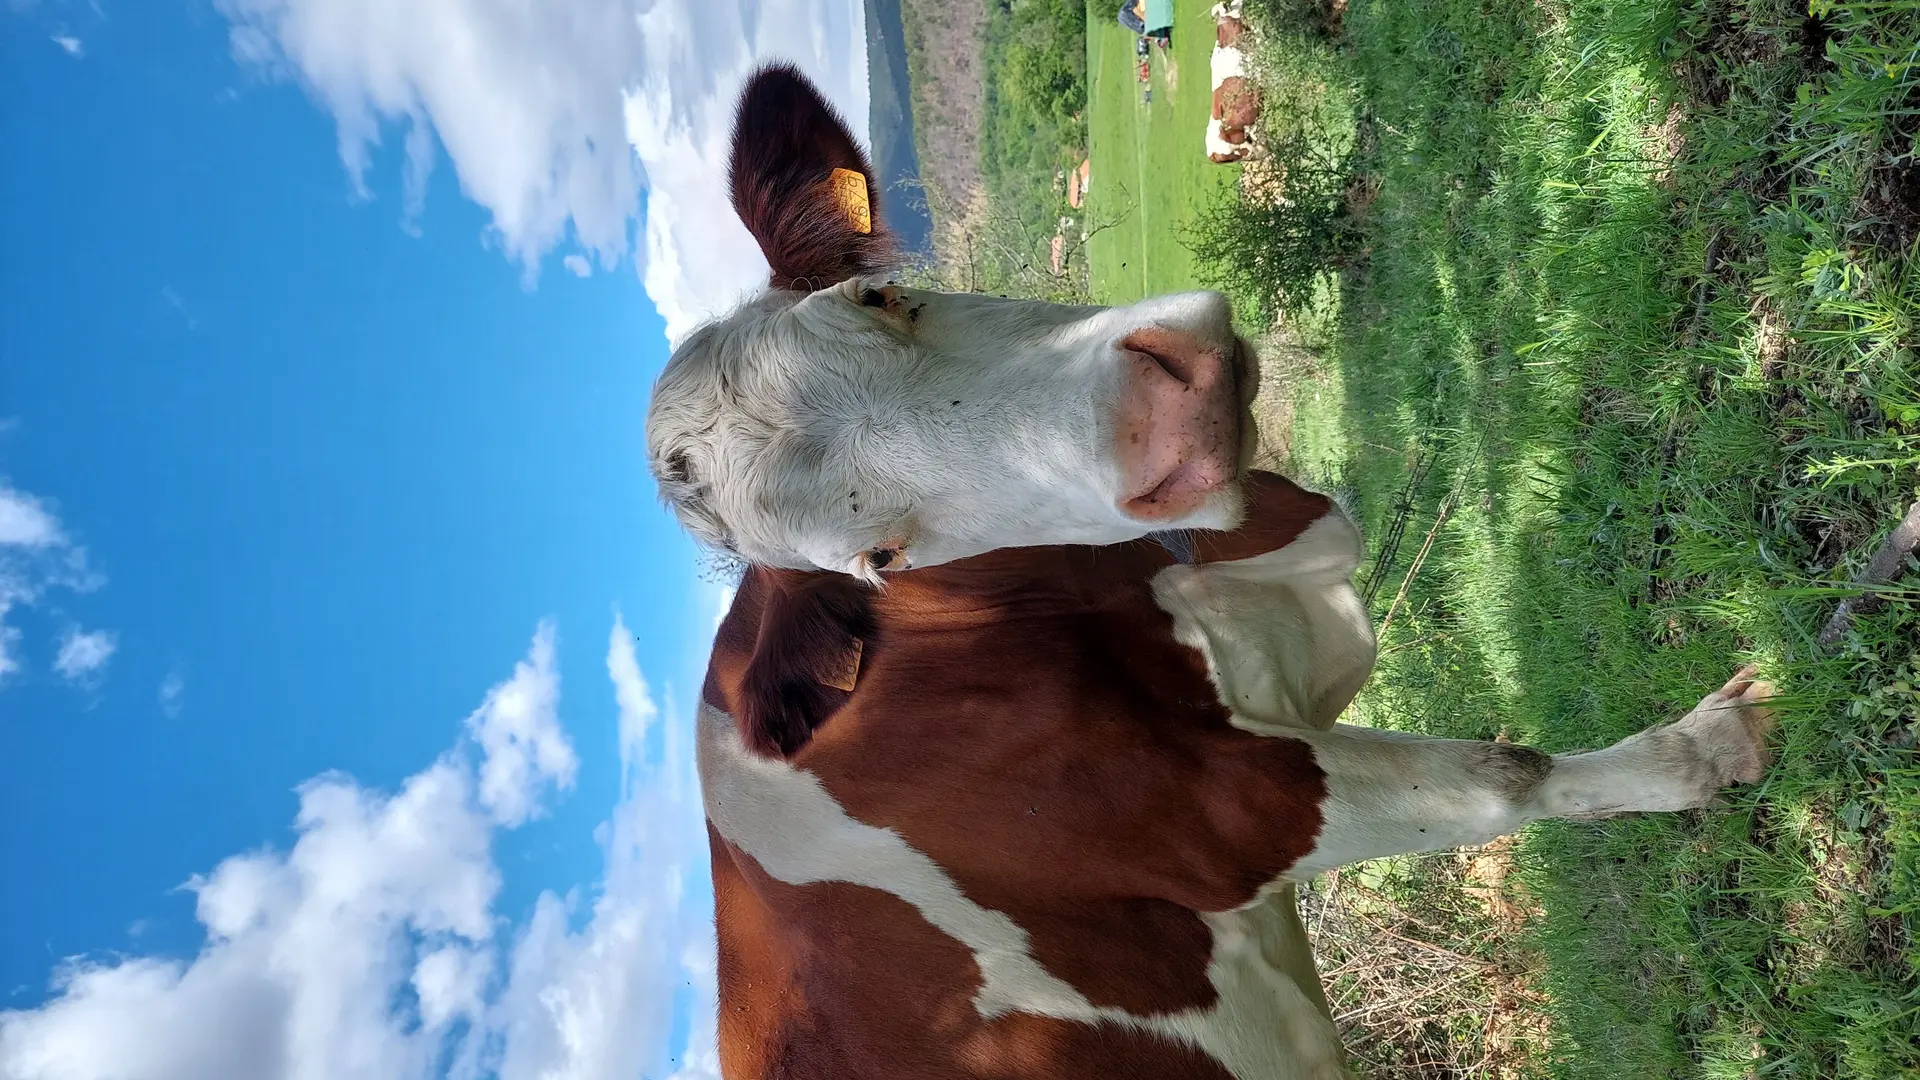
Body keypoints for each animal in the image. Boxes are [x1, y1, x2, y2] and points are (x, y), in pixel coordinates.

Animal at [645, 65, 1777, 1079]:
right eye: (880, 558)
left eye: (882, 294)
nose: (1168, 426)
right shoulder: (1230, 820)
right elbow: (1514, 775)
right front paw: (1707, 750)